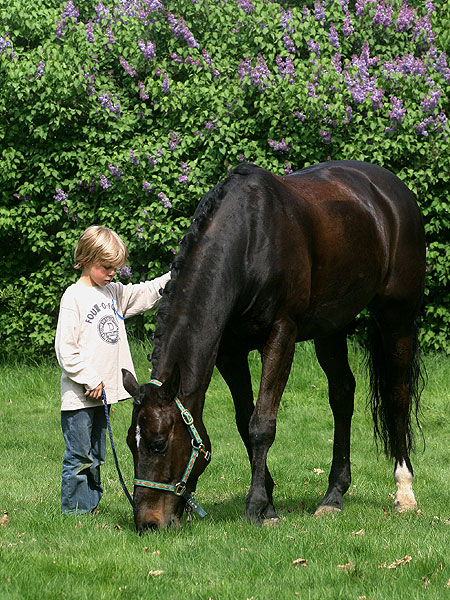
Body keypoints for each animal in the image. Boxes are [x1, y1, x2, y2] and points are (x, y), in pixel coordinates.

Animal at [122, 160, 426, 532]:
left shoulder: (282, 334)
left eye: (159, 444)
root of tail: (393, 191)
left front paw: (255, 507)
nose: (147, 523)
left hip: (396, 317)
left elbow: (262, 424)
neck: (249, 242)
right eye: (130, 444)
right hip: (331, 327)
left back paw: (405, 493)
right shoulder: (231, 351)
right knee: (342, 395)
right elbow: (244, 421)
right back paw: (333, 496)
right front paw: (267, 502)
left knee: (397, 396)